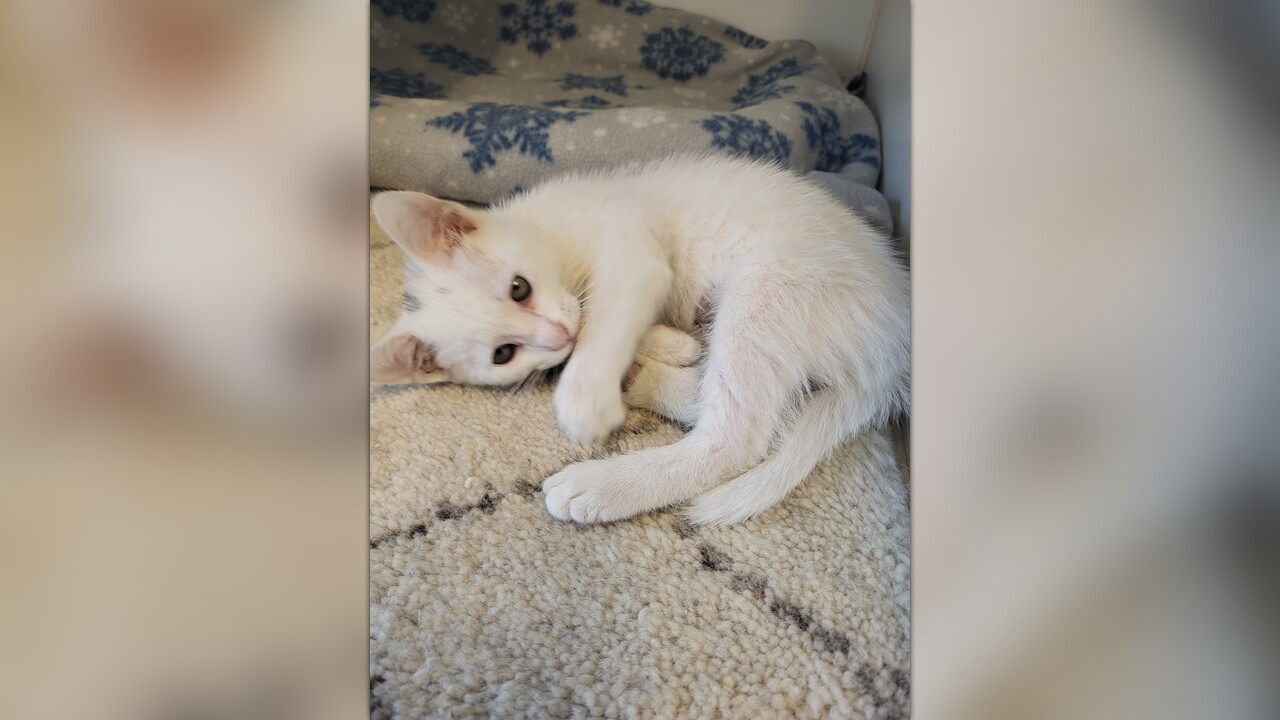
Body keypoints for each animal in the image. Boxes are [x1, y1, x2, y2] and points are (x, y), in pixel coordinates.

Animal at [371, 154, 910, 526]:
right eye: (503, 355)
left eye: (518, 288)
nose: (557, 335)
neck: (556, 233)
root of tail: (892, 345)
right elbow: (603, 323)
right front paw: (665, 346)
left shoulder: (633, 256)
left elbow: (603, 318)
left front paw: (584, 396)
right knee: (734, 401)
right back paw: (643, 380)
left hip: (772, 286)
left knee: (739, 435)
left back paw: (600, 485)